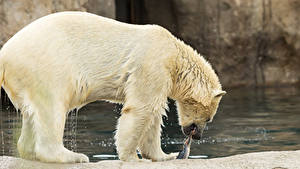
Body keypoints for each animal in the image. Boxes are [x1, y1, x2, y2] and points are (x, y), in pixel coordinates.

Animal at [0, 11, 225, 162]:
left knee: (32, 114)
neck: (175, 54)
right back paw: (73, 156)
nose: (198, 135)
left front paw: (165, 155)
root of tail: (5, 53)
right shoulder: (152, 64)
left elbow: (154, 114)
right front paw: (132, 157)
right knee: (52, 108)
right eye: (209, 118)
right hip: (47, 66)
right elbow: (141, 108)